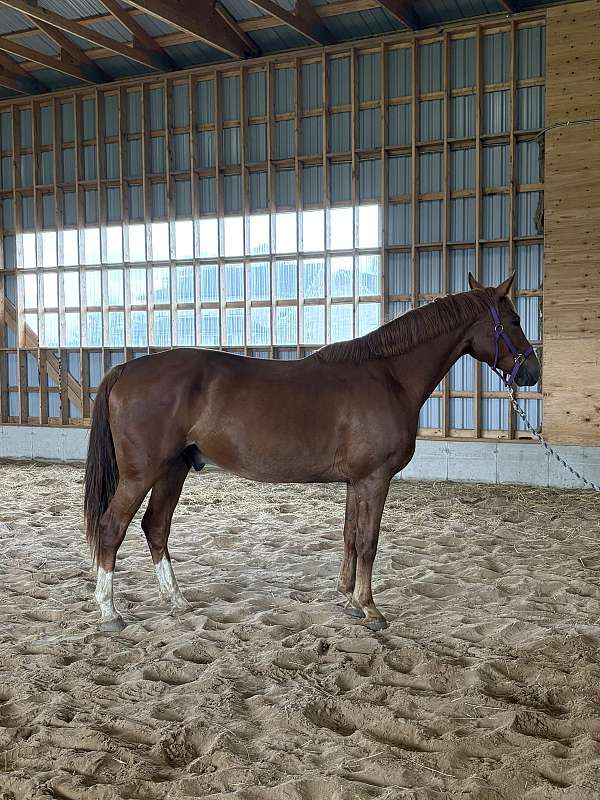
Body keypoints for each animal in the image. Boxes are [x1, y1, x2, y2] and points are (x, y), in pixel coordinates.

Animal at [84, 272, 540, 632]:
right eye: (514, 321)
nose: (532, 372)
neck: (388, 376)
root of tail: (125, 369)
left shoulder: (358, 482)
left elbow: (351, 536)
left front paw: (351, 600)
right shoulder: (375, 480)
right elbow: (369, 541)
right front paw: (371, 609)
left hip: (172, 471)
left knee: (155, 527)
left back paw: (176, 600)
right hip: (142, 474)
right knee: (111, 528)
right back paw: (109, 614)